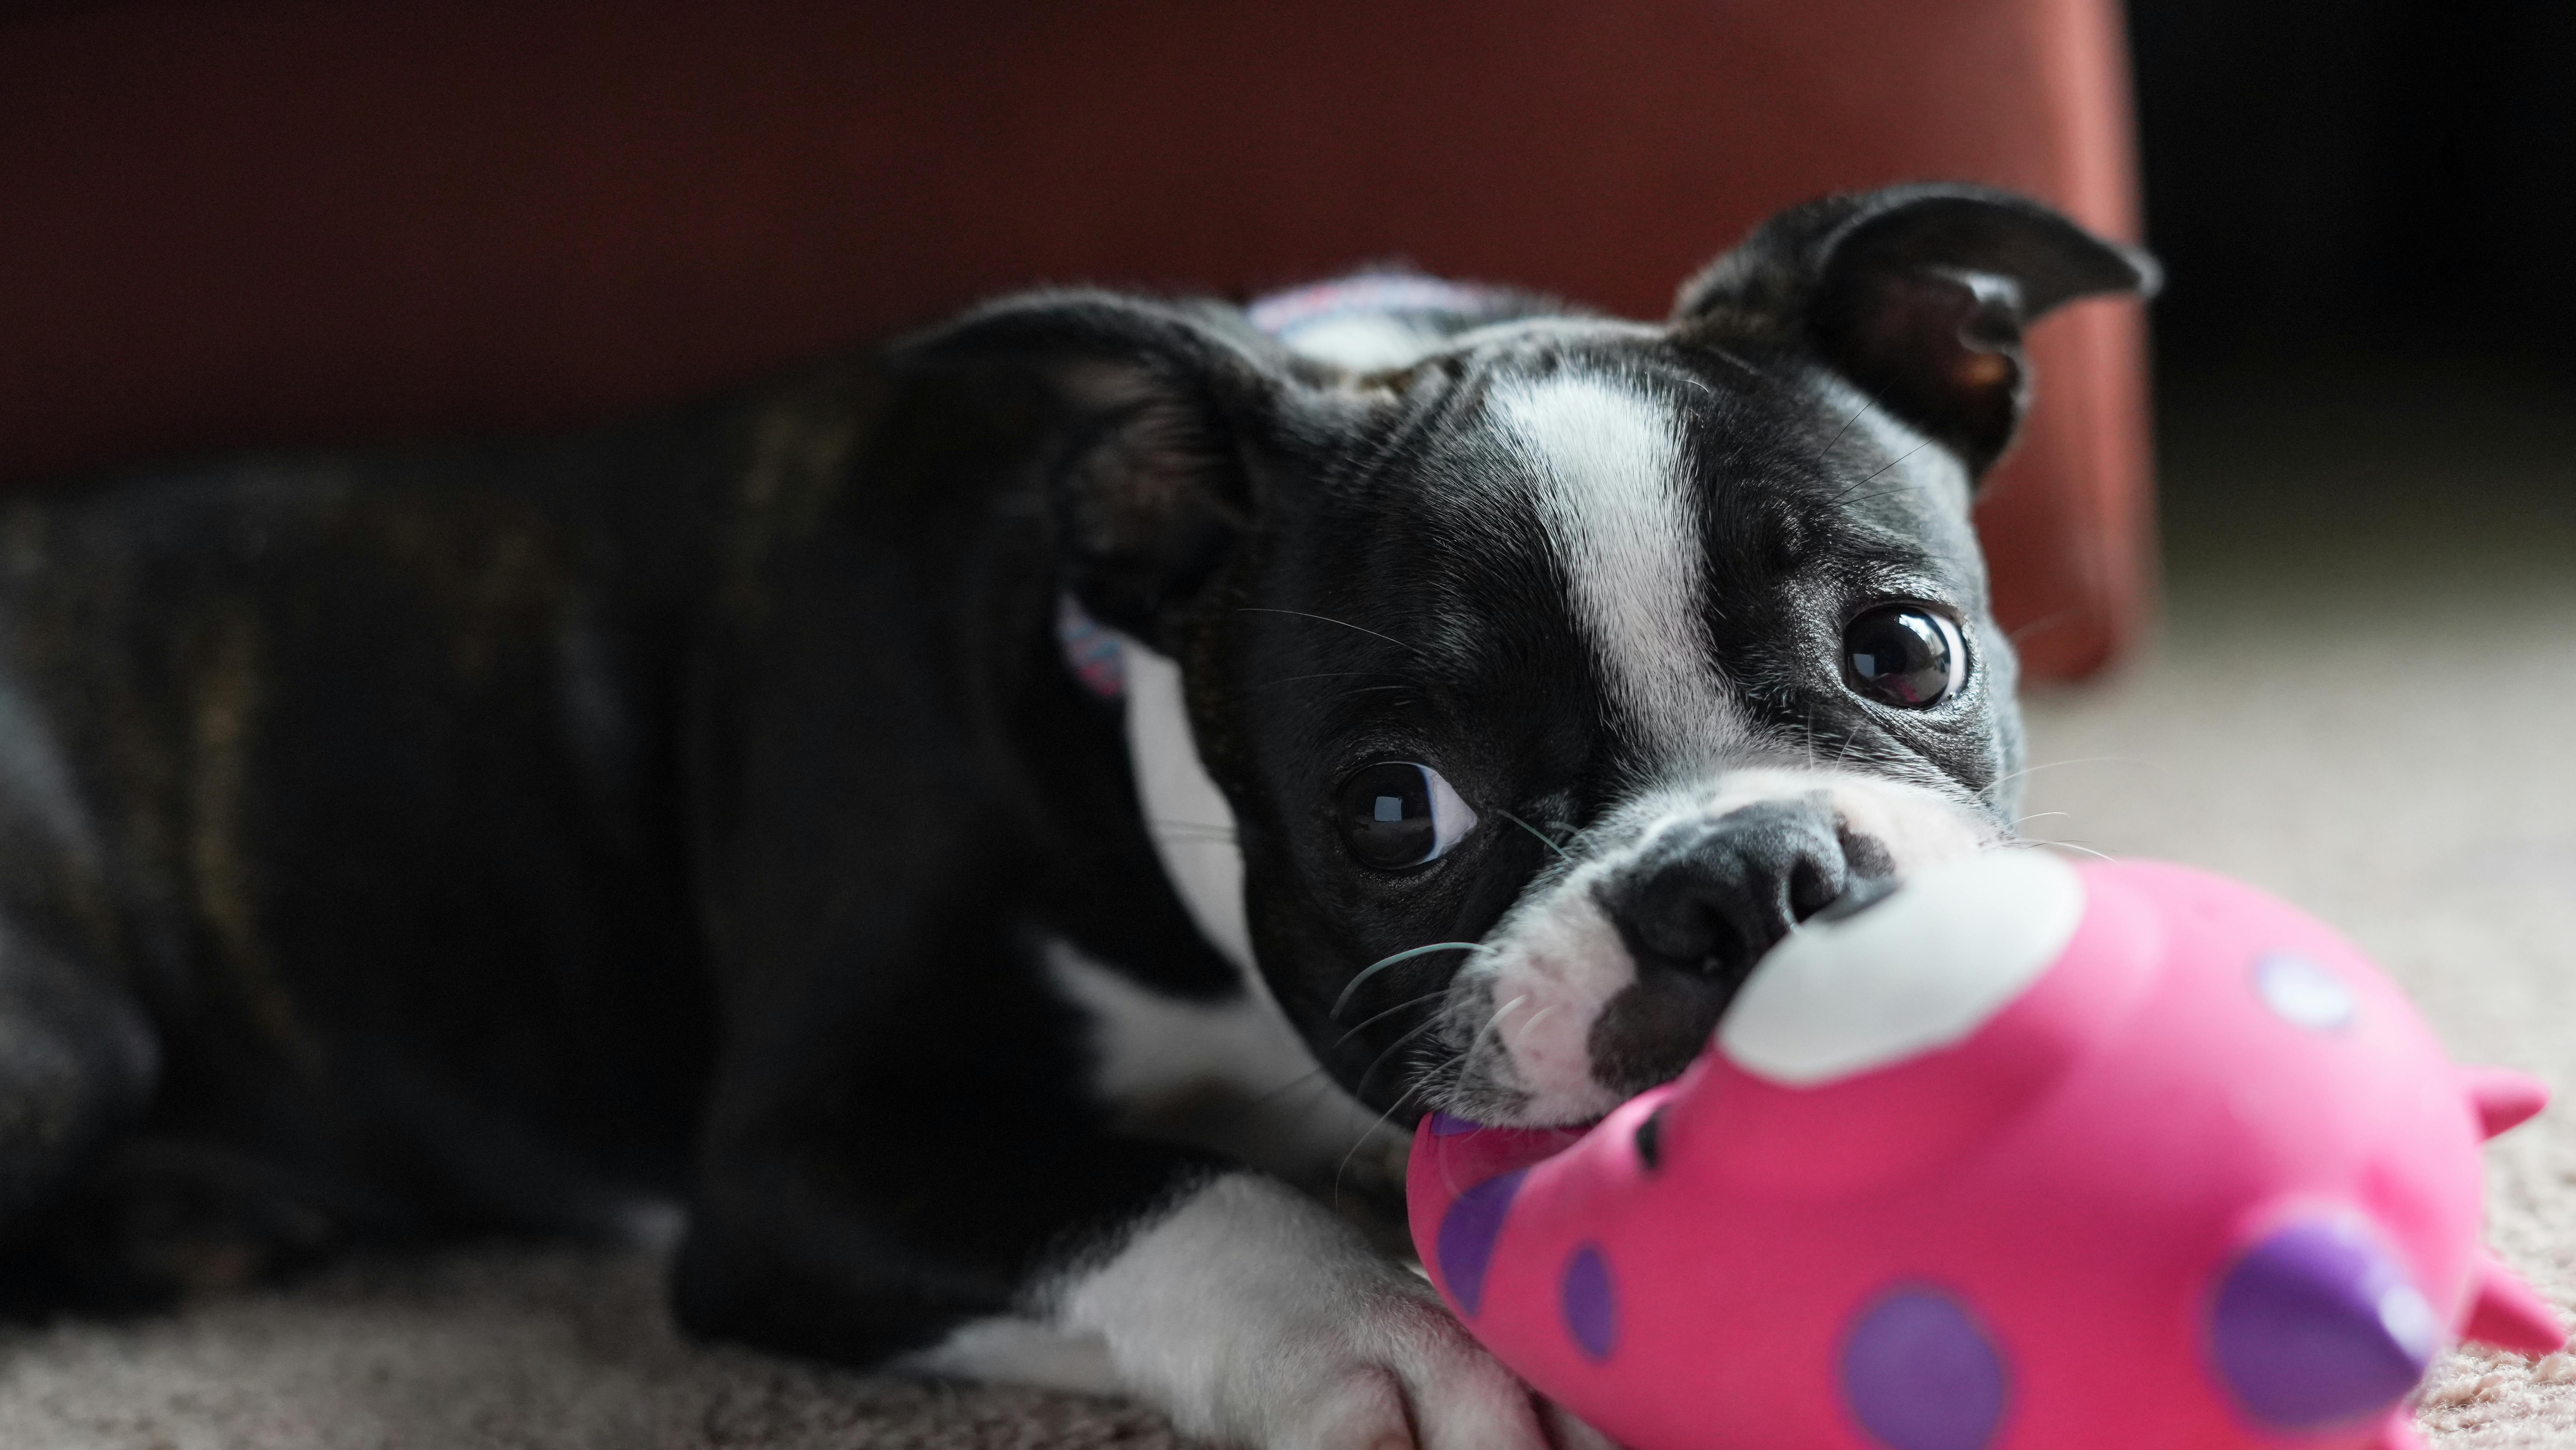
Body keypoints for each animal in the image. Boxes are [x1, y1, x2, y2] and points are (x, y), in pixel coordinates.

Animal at [0, 186, 2143, 1442]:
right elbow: (1162, 1184)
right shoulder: (802, 1164)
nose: (1745, 878)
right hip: (68, 1031)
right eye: (1394, 810)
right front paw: (1390, 1331)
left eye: (1905, 649)